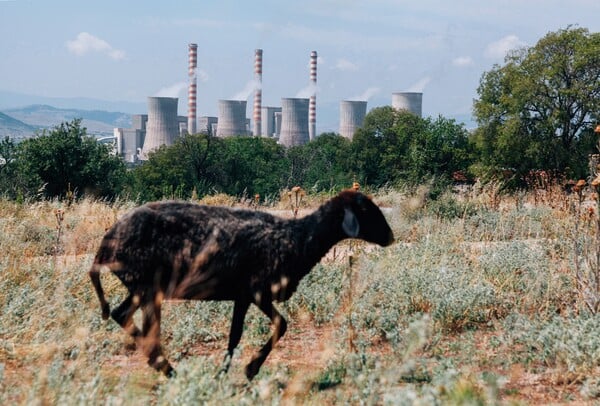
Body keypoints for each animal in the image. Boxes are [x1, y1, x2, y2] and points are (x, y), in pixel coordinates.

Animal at [89, 190, 394, 380]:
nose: (390, 237)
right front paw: (249, 369)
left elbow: (235, 336)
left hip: (140, 288)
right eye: (366, 210)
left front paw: (225, 373)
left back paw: (160, 363)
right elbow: (281, 325)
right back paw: (165, 366)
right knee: (145, 328)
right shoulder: (258, 291)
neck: (299, 237)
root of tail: (104, 246)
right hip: (148, 287)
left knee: (120, 314)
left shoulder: (243, 296)